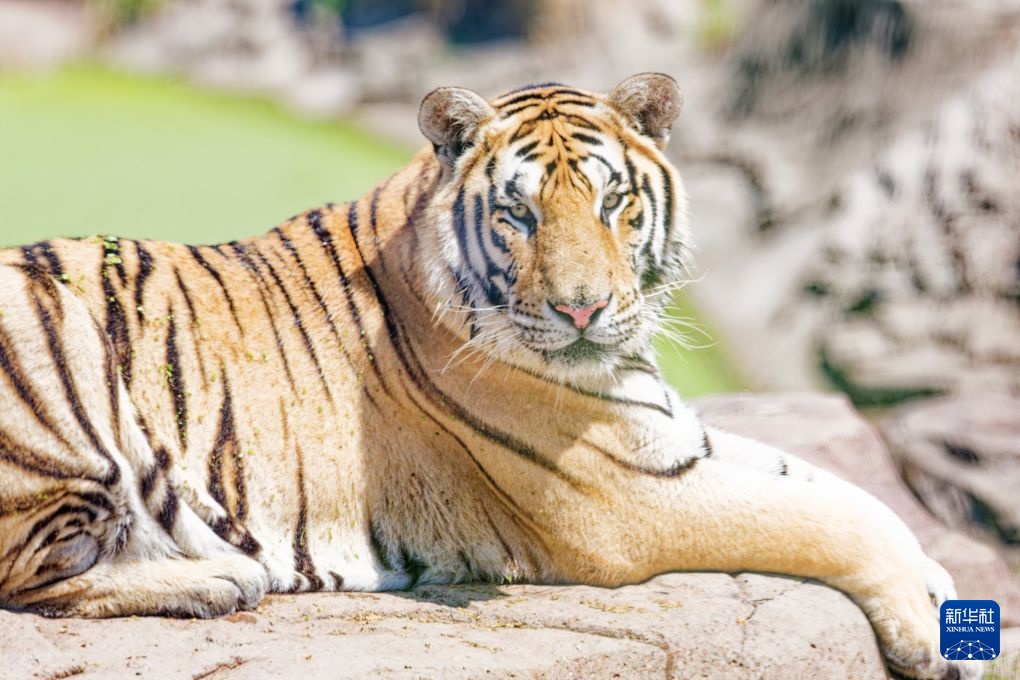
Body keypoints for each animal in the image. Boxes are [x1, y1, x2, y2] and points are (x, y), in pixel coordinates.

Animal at [0, 73, 977, 679]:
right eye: (519, 214)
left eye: (613, 202)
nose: (584, 311)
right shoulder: (623, 503)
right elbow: (820, 517)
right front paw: (925, 627)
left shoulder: (670, 435)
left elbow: (840, 487)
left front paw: (939, 582)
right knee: (24, 577)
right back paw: (216, 579)